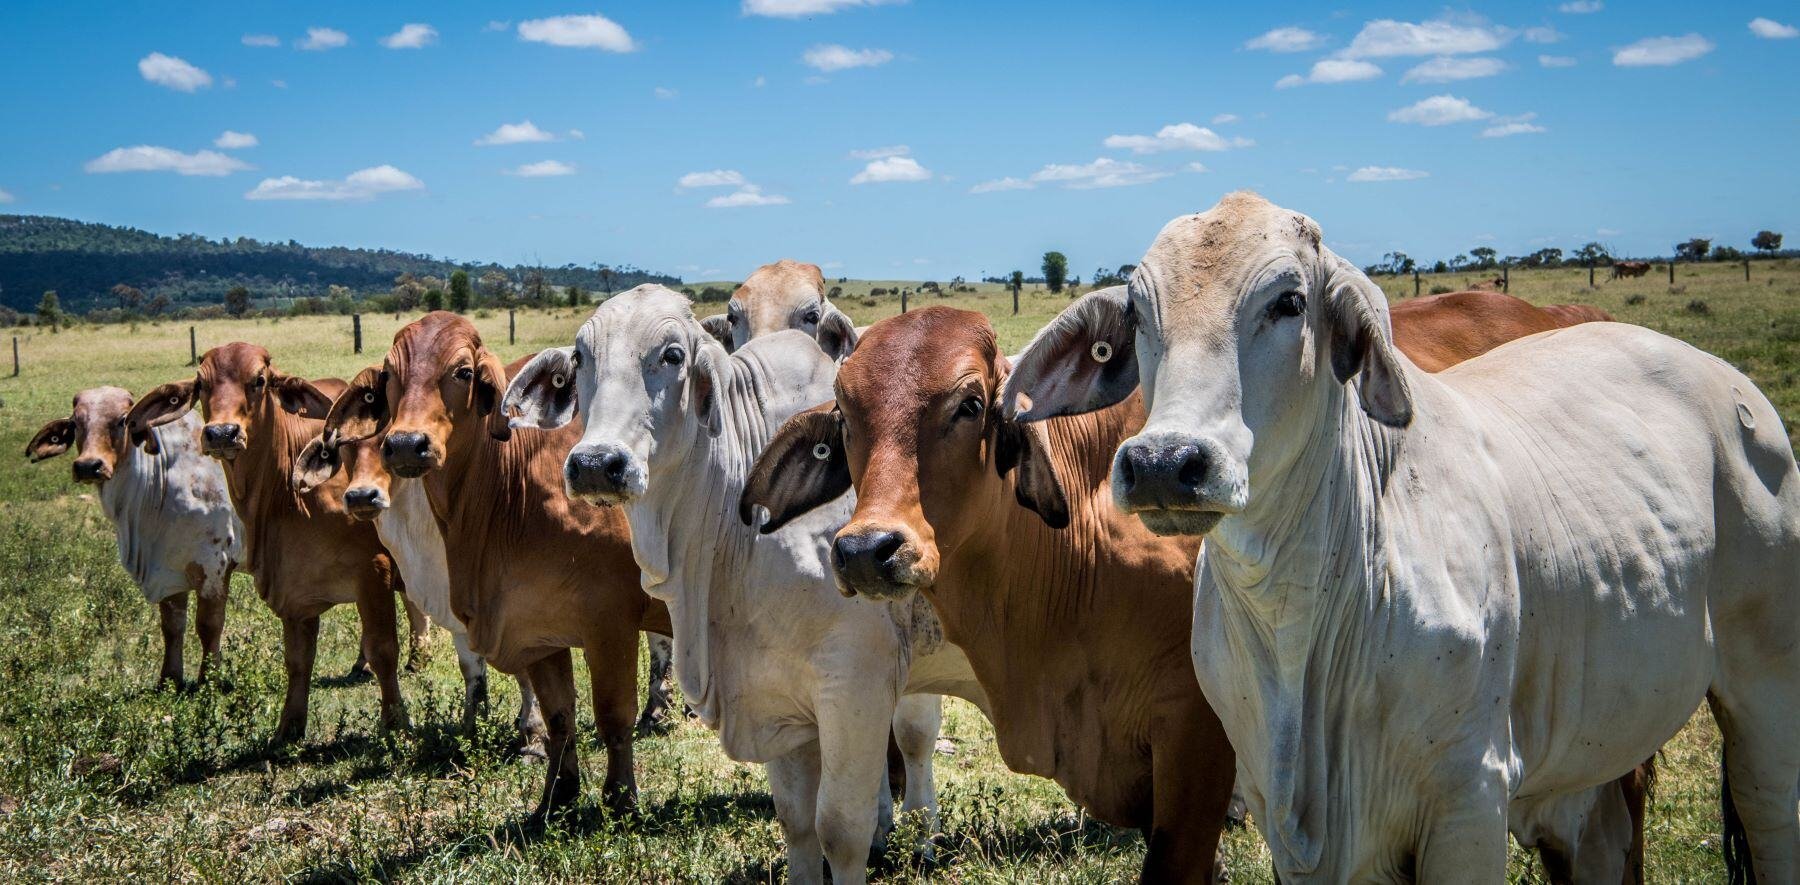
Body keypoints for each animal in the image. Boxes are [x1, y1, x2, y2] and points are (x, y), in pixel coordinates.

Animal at [507, 287, 986, 881]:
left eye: (672, 355)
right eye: (580, 358)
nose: (597, 463)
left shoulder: (856, 680)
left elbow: (840, 828)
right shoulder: (778, 695)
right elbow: (798, 823)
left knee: (917, 737)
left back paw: (923, 835)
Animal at [1008, 193, 1792, 885]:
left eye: (1290, 303)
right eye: (1139, 314)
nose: (1165, 462)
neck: (1297, 621)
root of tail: (1720, 374)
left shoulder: (1469, 803)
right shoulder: (1291, 824)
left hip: (1765, 697)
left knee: (1770, 817)